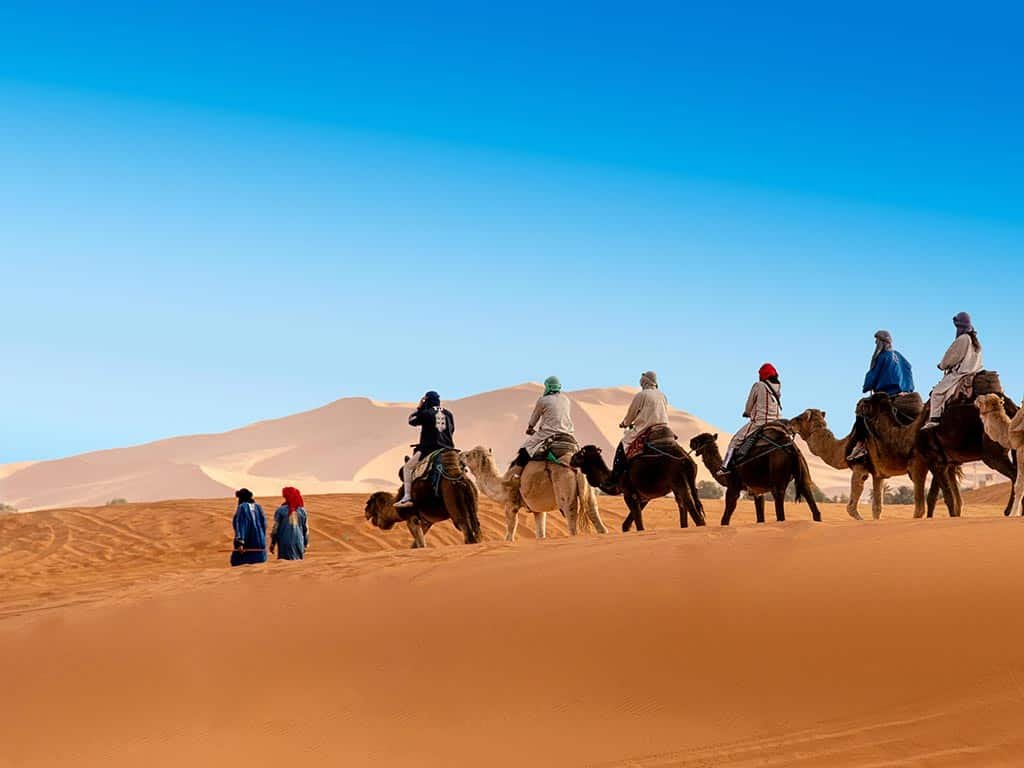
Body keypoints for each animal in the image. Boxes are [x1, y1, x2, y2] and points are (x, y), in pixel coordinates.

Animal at [460, 444, 602, 540]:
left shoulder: (511, 505)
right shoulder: (538, 510)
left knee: (571, 520)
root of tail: (576, 469)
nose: (460, 453)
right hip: (589, 492)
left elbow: (510, 532)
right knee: (594, 513)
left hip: (565, 490)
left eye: (468, 455)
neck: (501, 485)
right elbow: (540, 533)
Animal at [569, 442, 704, 532]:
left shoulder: (629, 493)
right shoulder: (643, 498)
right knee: (683, 503)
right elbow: (626, 524)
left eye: (580, 454)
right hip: (680, 483)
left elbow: (638, 523)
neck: (614, 478)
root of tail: (687, 459)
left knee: (688, 501)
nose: (571, 459)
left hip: (677, 479)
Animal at [688, 430, 823, 528]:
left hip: (777, 474)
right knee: (809, 494)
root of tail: (792, 447)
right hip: (802, 469)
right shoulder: (757, 491)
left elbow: (725, 517)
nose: (691, 441)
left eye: (700, 439)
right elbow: (760, 517)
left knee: (780, 510)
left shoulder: (733, 486)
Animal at [856, 393, 1015, 520]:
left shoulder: (934, 461)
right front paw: (932, 518)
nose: (858, 404)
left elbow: (948, 497)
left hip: (993, 452)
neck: (910, 434)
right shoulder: (941, 462)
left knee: (1014, 475)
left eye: (869, 401)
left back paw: (1009, 512)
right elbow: (932, 497)